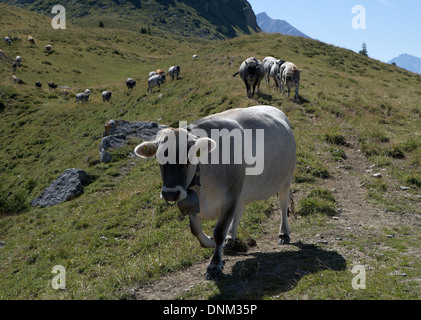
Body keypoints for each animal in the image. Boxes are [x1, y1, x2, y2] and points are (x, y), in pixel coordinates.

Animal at [135, 105, 296, 280]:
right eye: (159, 158)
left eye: (189, 158)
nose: (170, 194)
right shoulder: (196, 201)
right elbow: (196, 231)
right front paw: (211, 242)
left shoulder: (229, 197)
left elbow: (219, 231)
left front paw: (214, 265)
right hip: (242, 190)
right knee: (239, 211)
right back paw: (230, 238)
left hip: (285, 179)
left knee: (283, 204)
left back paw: (283, 233)